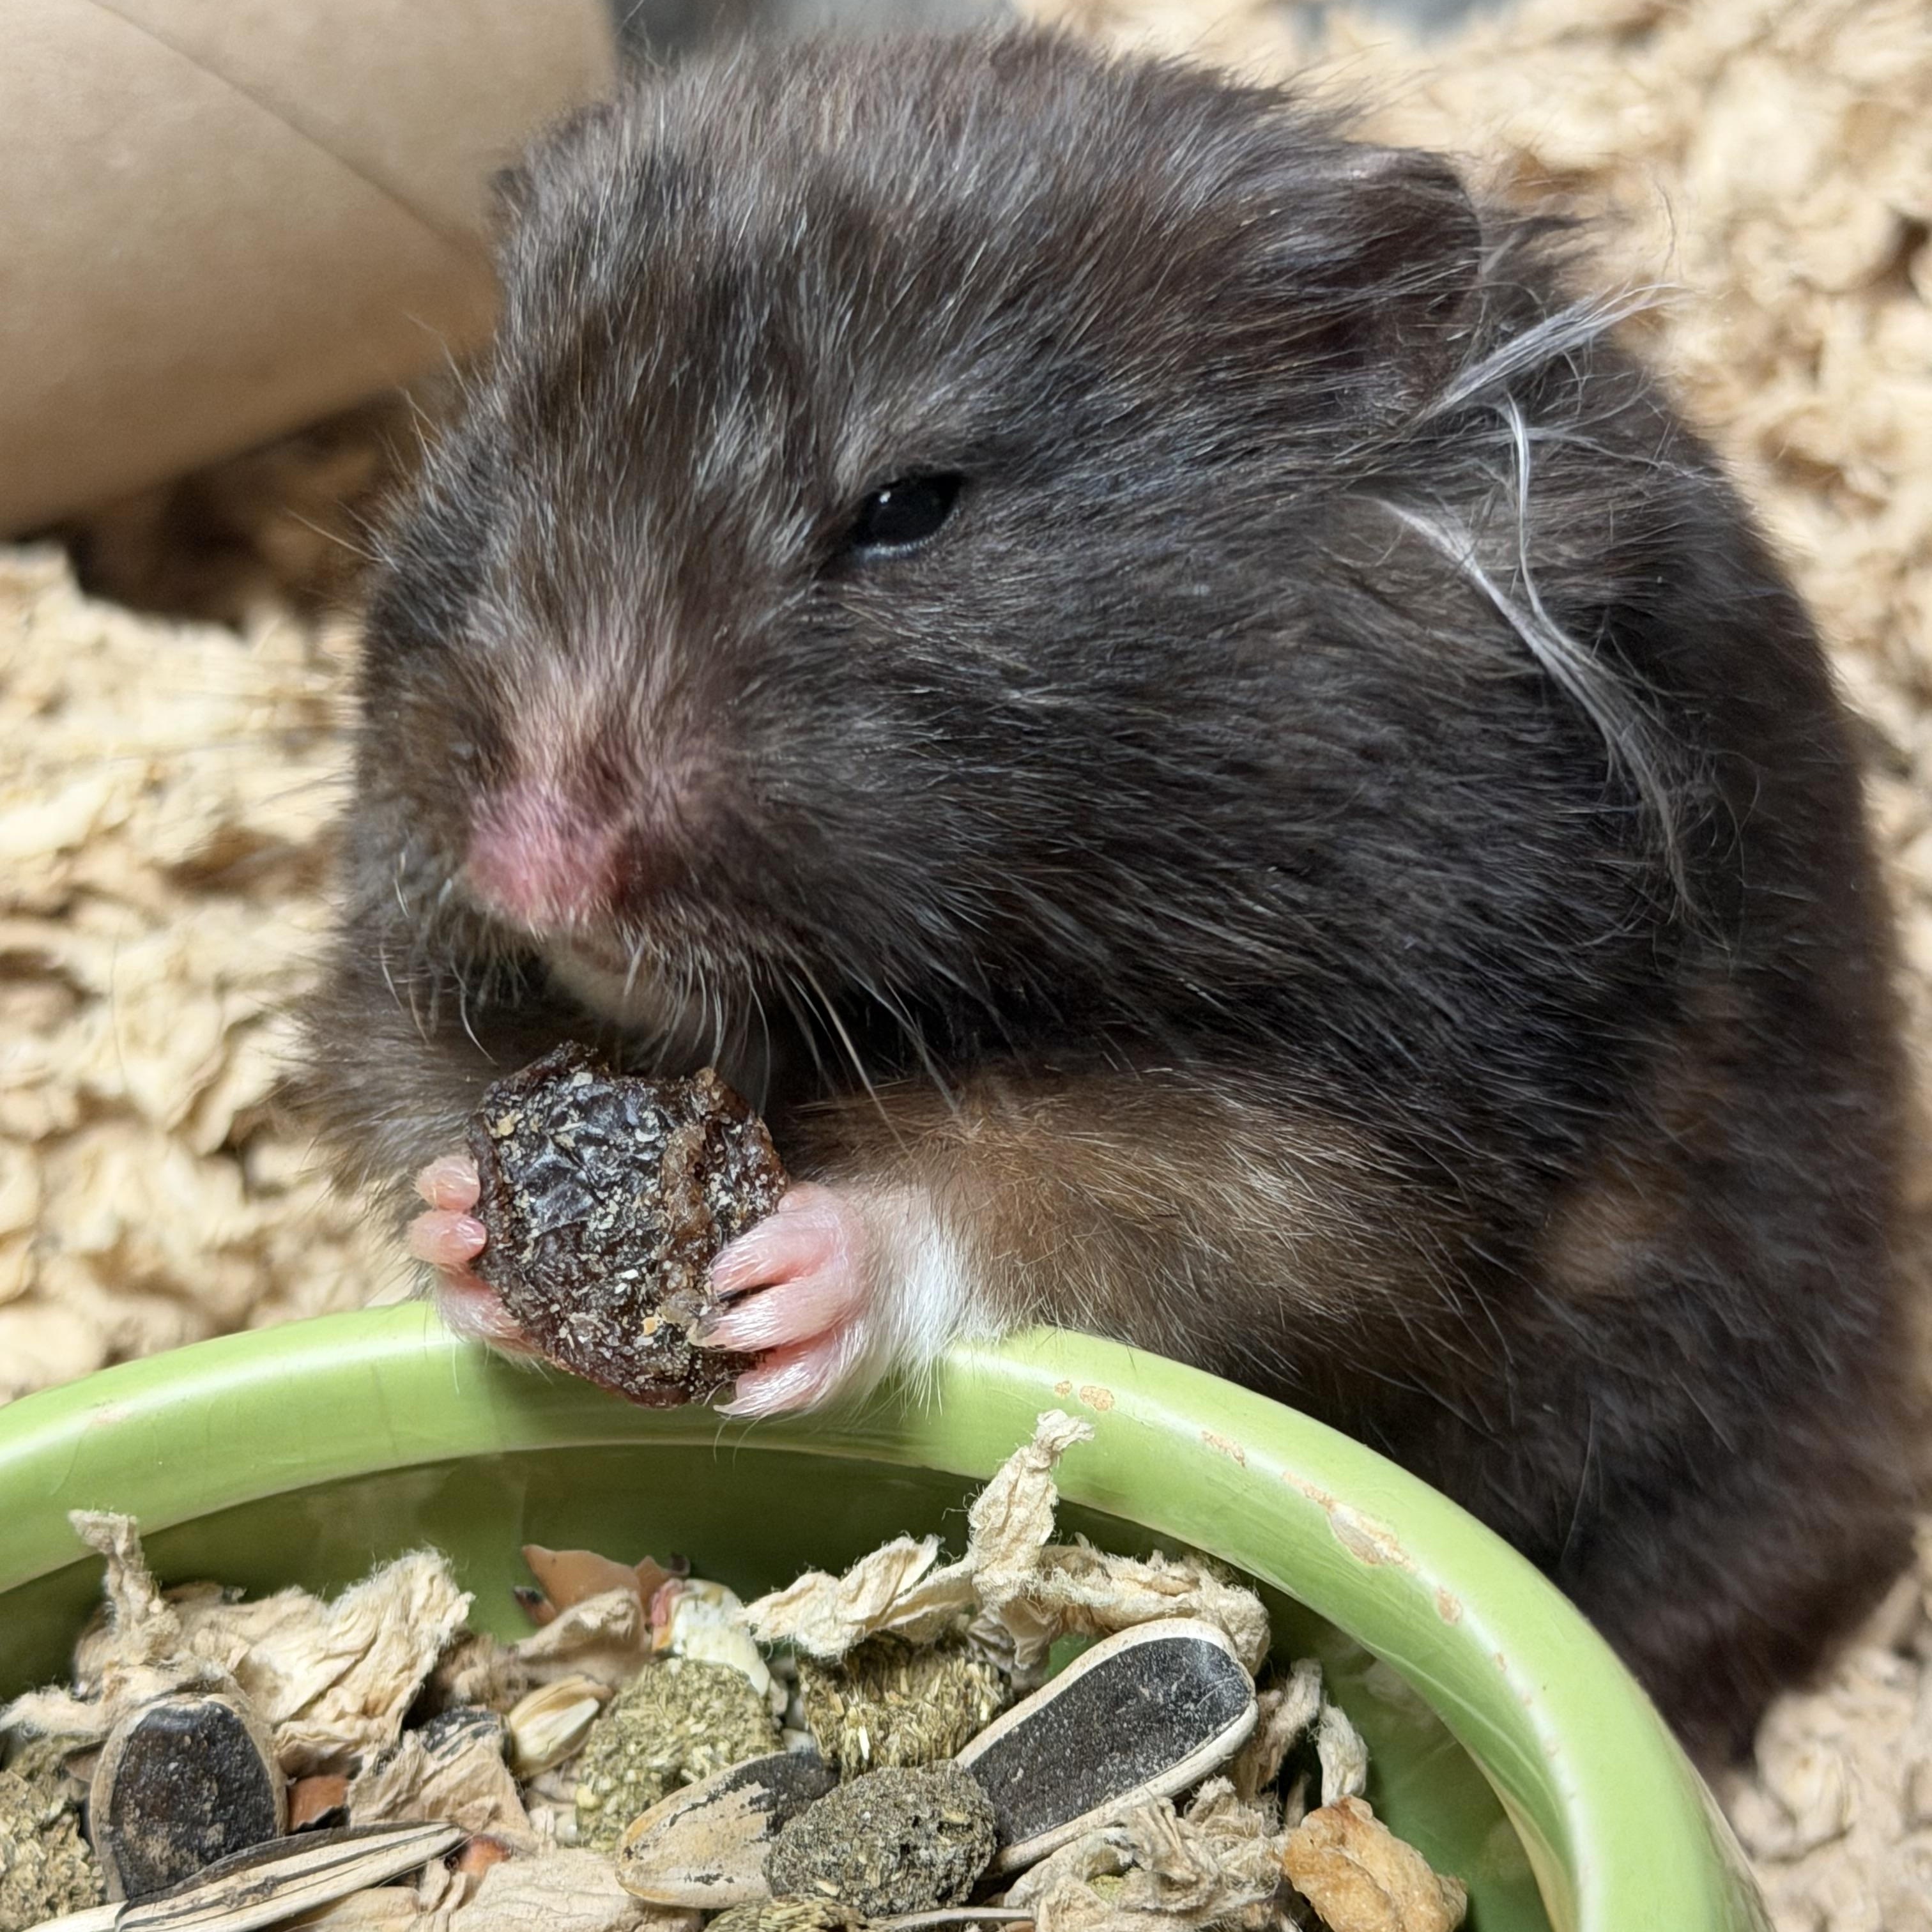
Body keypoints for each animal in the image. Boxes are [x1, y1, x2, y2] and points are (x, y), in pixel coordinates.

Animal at [293, 30, 1919, 1767]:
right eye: (504, 459)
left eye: (910, 507)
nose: (530, 868)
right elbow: (410, 1070)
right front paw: (473, 1225)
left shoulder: (1391, 1110)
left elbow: (1090, 1204)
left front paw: (778, 1280)